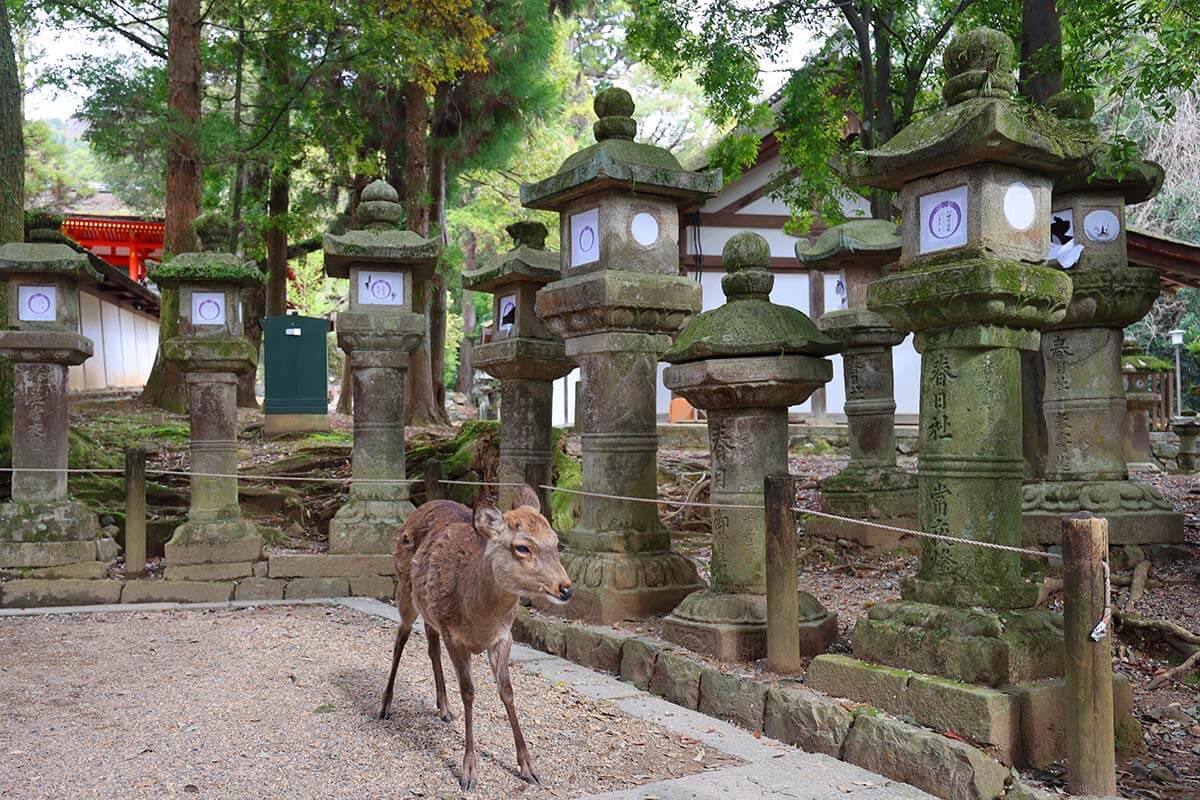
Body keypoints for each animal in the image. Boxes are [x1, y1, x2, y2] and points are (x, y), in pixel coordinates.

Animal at [379, 485, 572, 793]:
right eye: (522, 547)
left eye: (555, 542)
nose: (565, 589)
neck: (479, 620)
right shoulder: (454, 635)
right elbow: (469, 692)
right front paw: (469, 772)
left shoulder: (504, 637)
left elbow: (507, 691)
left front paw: (529, 767)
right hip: (404, 590)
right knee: (401, 638)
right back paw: (385, 705)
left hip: (430, 612)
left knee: (431, 645)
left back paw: (444, 708)